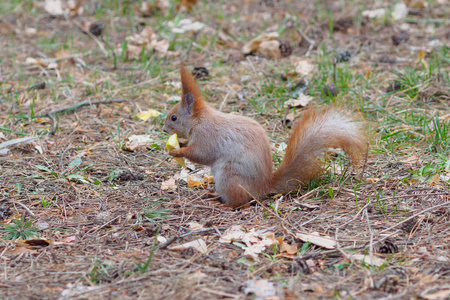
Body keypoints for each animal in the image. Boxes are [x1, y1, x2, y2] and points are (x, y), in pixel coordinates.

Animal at [163, 66, 368, 207]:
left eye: (174, 117)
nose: (164, 129)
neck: (199, 120)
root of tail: (265, 185)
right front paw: (181, 143)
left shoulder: (207, 136)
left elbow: (201, 154)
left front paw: (177, 152)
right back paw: (213, 195)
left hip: (228, 178)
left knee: (241, 202)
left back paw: (223, 204)